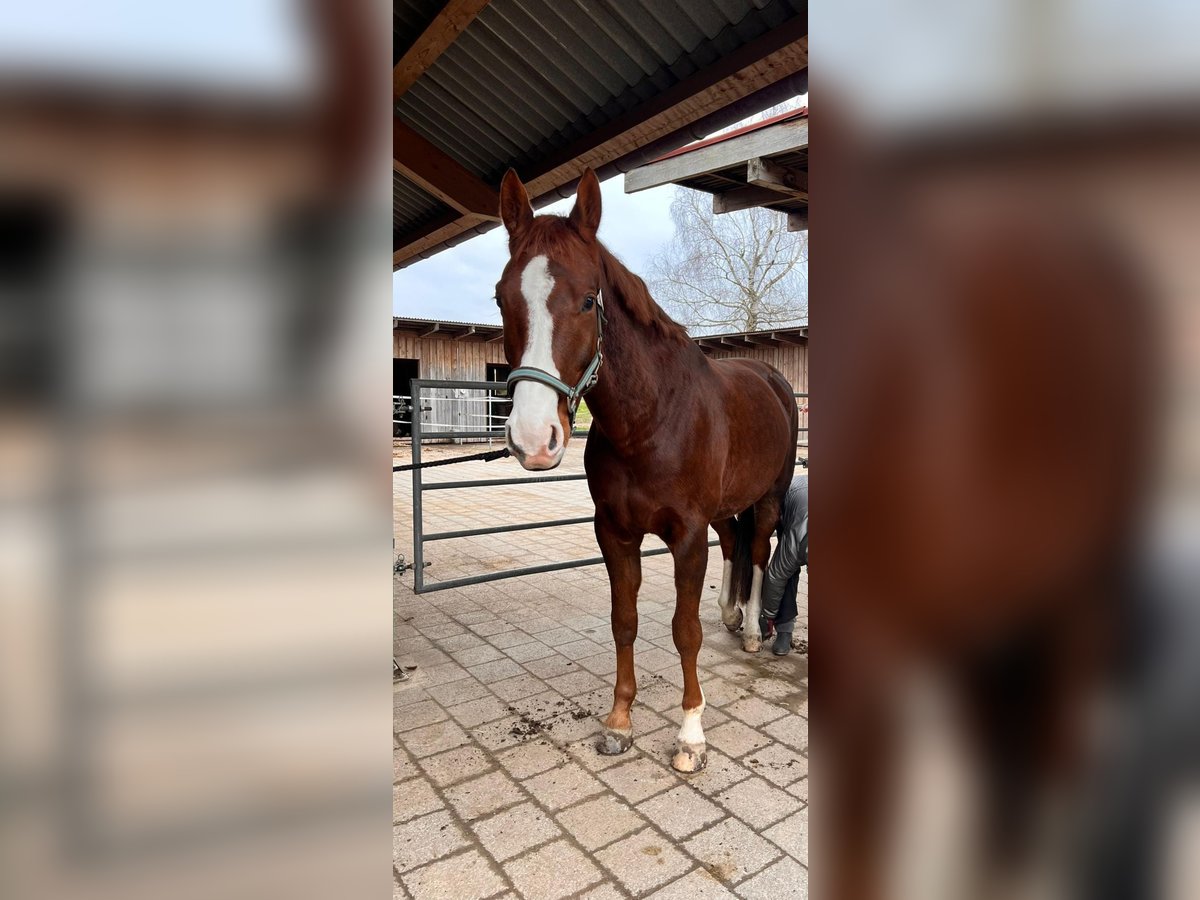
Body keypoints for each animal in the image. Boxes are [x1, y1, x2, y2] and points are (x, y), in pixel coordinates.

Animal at [492, 169, 792, 777]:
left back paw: (751, 629)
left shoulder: (687, 536)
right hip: (725, 509)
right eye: (501, 297)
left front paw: (691, 735)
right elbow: (624, 622)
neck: (650, 421)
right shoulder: (615, 532)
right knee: (735, 542)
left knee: (757, 550)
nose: (533, 439)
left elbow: (685, 631)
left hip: (769, 498)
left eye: (588, 300)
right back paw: (731, 613)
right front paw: (618, 723)